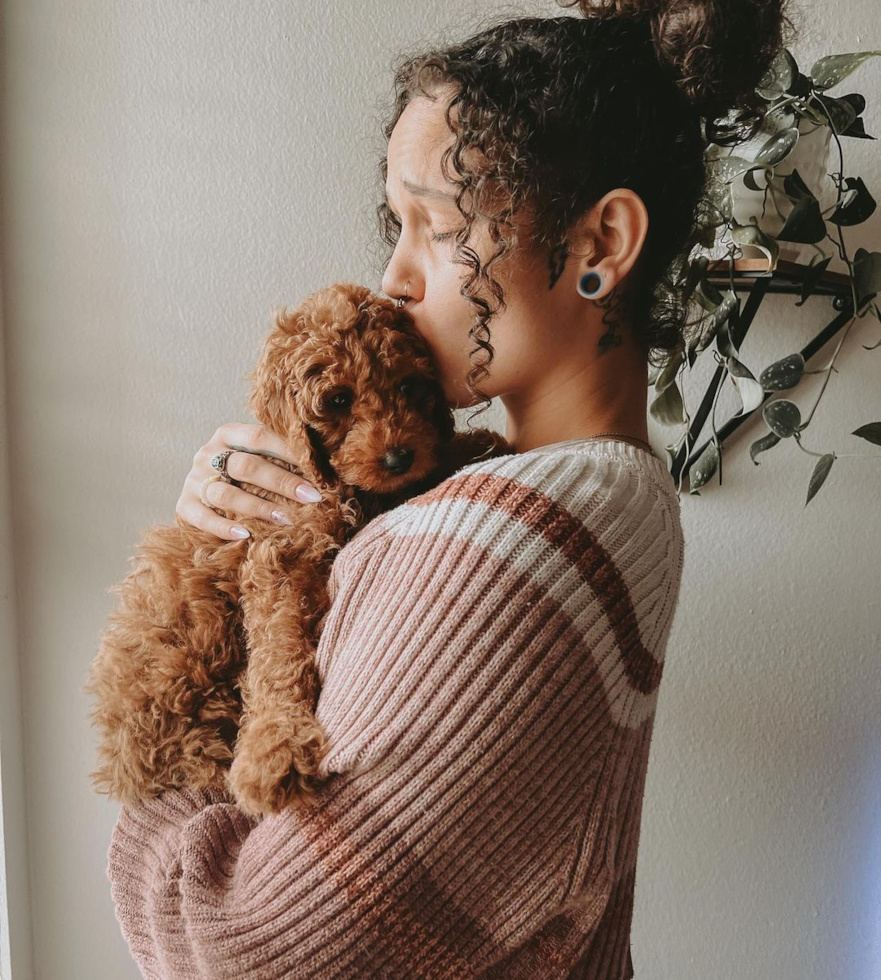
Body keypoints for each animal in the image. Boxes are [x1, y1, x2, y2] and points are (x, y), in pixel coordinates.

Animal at [81, 282, 512, 820]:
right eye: (338, 399)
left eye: (411, 387)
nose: (398, 457)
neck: (332, 482)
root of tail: (123, 765)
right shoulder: (278, 553)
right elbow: (278, 655)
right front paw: (275, 748)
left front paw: (479, 442)